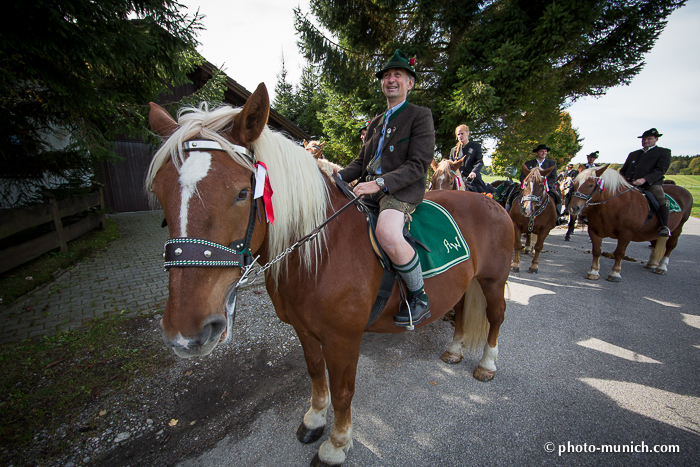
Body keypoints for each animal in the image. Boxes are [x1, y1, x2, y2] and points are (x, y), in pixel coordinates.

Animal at [146, 85, 516, 467]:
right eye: (160, 193)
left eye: (242, 193)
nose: (186, 333)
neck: (320, 250)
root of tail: (491, 202)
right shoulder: (304, 330)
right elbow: (314, 374)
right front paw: (313, 421)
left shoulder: (343, 339)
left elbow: (342, 390)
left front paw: (337, 444)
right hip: (467, 283)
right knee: (461, 311)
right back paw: (455, 350)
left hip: (491, 281)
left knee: (496, 316)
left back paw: (487, 365)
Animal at [568, 165, 696, 282]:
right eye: (575, 184)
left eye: (590, 185)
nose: (573, 208)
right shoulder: (594, 230)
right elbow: (596, 251)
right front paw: (593, 272)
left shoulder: (627, 233)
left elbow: (620, 252)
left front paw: (615, 273)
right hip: (653, 231)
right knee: (655, 242)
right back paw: (651, 263)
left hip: (678, 228)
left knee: (670, 246)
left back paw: (662, 267)